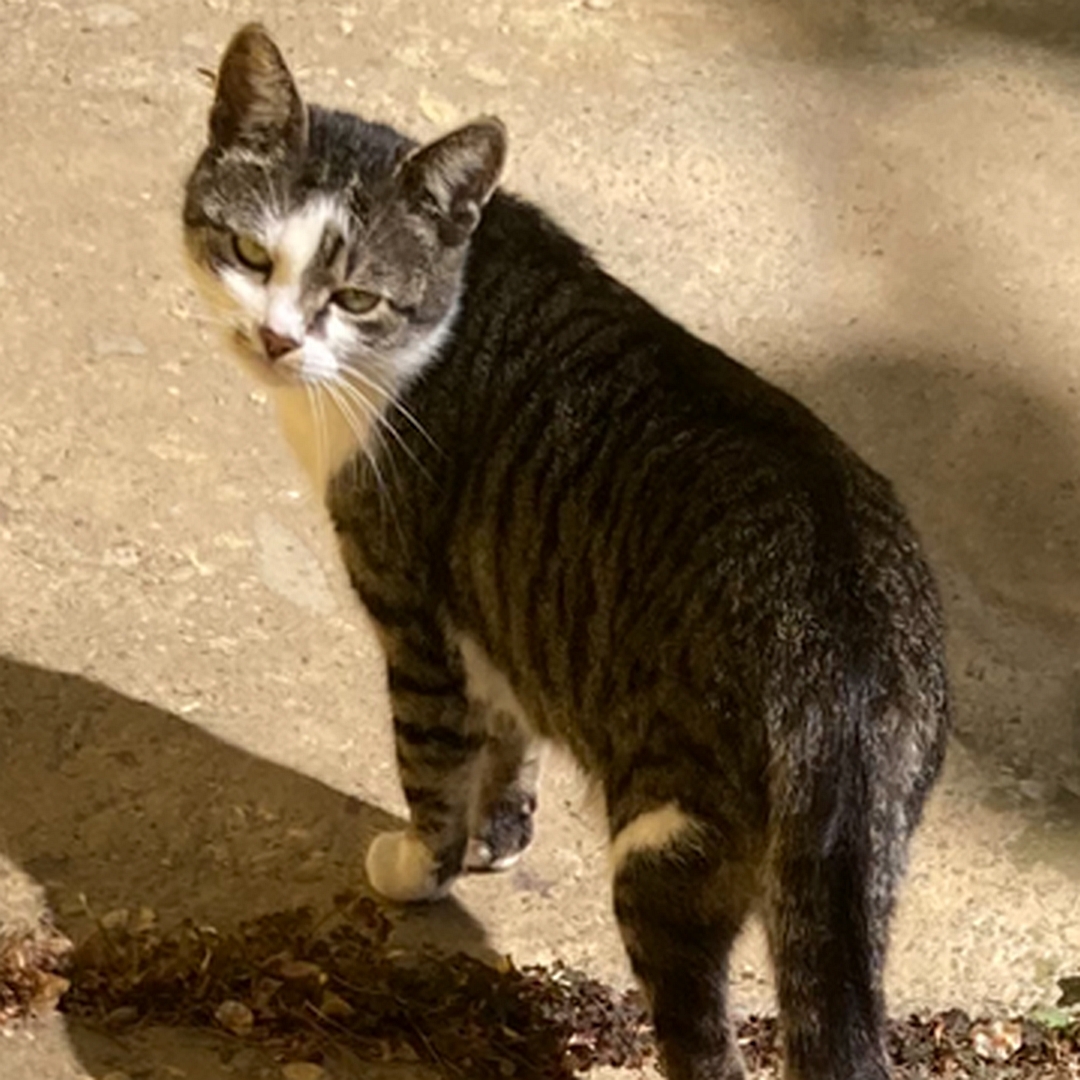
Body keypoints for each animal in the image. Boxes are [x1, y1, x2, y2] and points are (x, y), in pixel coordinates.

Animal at [185, 25, 954, 1080]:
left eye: (356, 297)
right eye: (250, 253)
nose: (274, 339)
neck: (452, 301)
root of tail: (842, 638)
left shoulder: (412, 608)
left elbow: (429, 757)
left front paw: (423, 865)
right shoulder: (500, 601)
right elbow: (509, 726)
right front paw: (502, 831)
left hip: (668, 844)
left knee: (703, 1041)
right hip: (876, 855)